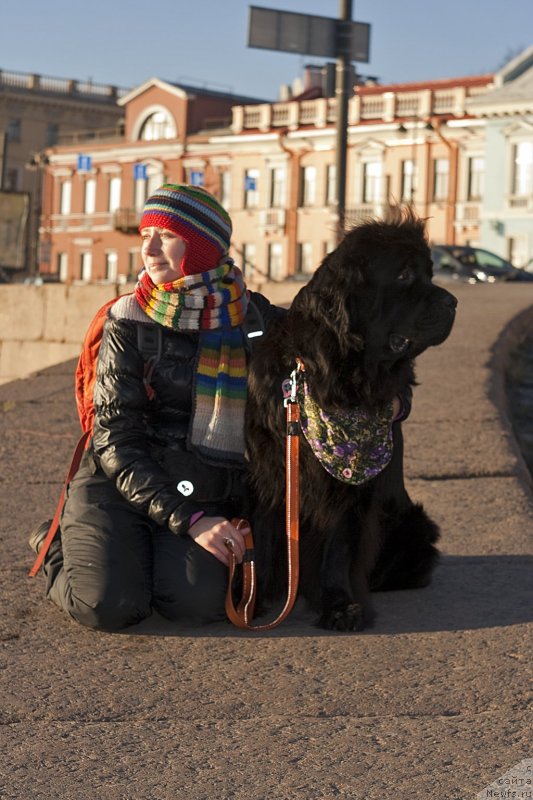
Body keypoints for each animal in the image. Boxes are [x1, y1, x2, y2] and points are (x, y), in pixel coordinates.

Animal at [245, 208, 458, 632]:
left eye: (430, 273)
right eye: (404, 275)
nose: (454, 302)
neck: (337, 377)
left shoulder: (351, 489)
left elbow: (338, 546)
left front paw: (340, 605)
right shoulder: (270, 471)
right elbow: (262, 538)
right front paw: (254, 601)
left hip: (413, 524)